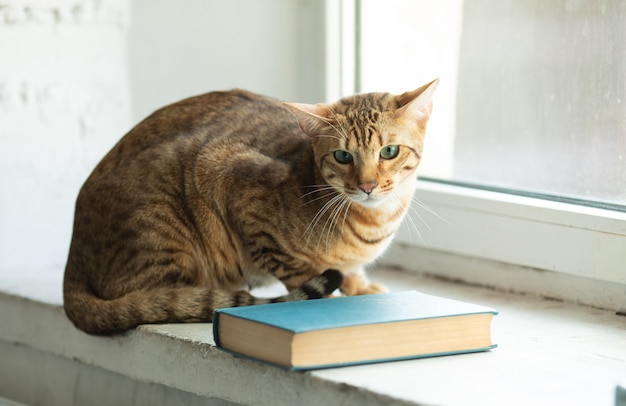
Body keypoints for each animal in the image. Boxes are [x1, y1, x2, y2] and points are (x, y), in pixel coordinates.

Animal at [62, 78, 434, 334]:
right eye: (343, 156)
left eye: (389, 151)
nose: (367, 185)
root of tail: (72, 257)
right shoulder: (236, 188)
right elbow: (298, 271)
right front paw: (330, 295)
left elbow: (351, 272)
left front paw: (360, 286)